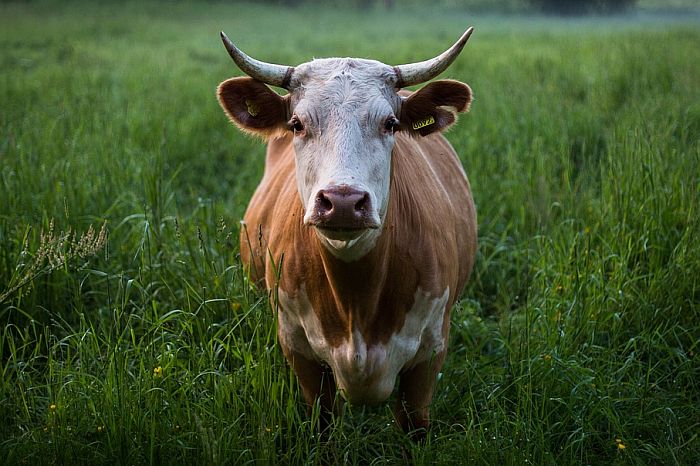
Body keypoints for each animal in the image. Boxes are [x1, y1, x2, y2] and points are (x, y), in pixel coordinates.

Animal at [216, 28, 478, 436]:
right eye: (297, 124)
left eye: (390, 124)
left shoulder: (430, 353)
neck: (357, 301)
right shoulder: (299, 351)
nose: (342, 201)